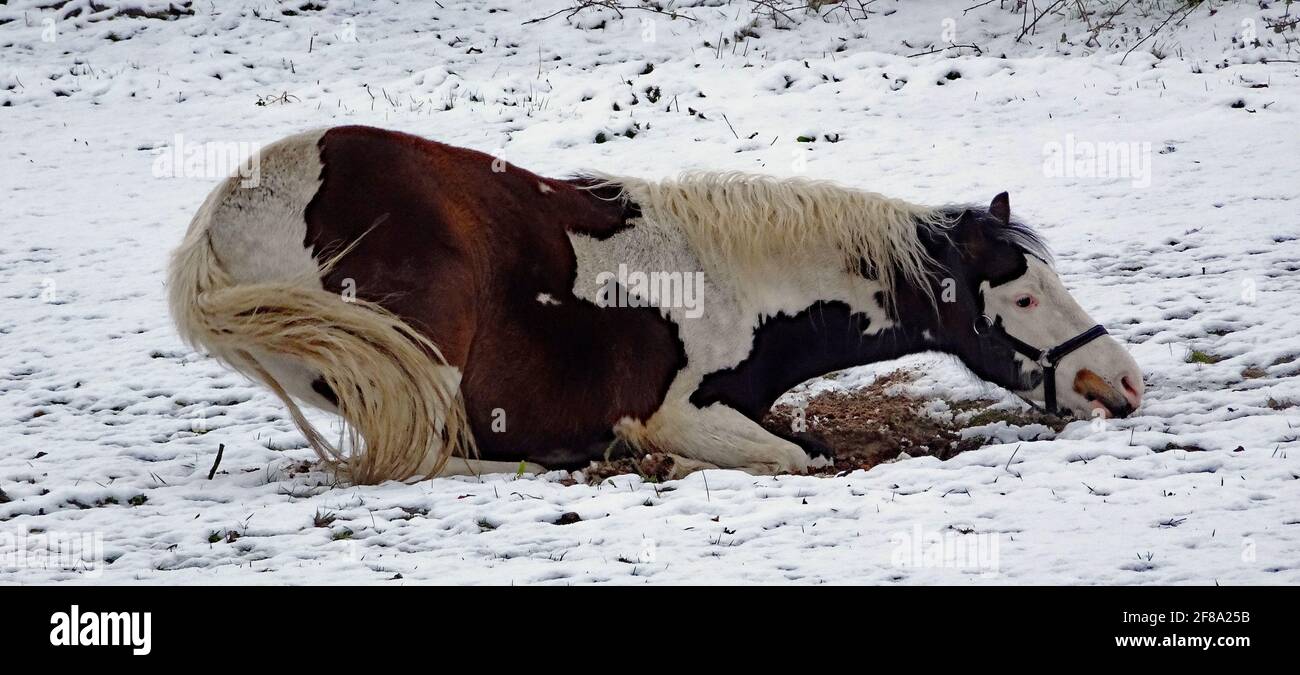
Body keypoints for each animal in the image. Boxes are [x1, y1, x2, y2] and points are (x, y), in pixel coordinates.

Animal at [167, 125, 1143, 484]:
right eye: (1025, 293)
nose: (1122, 381)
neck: (738, 282)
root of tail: (228, 207)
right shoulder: (676, 414)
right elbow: (800, 457)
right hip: (418, 362)